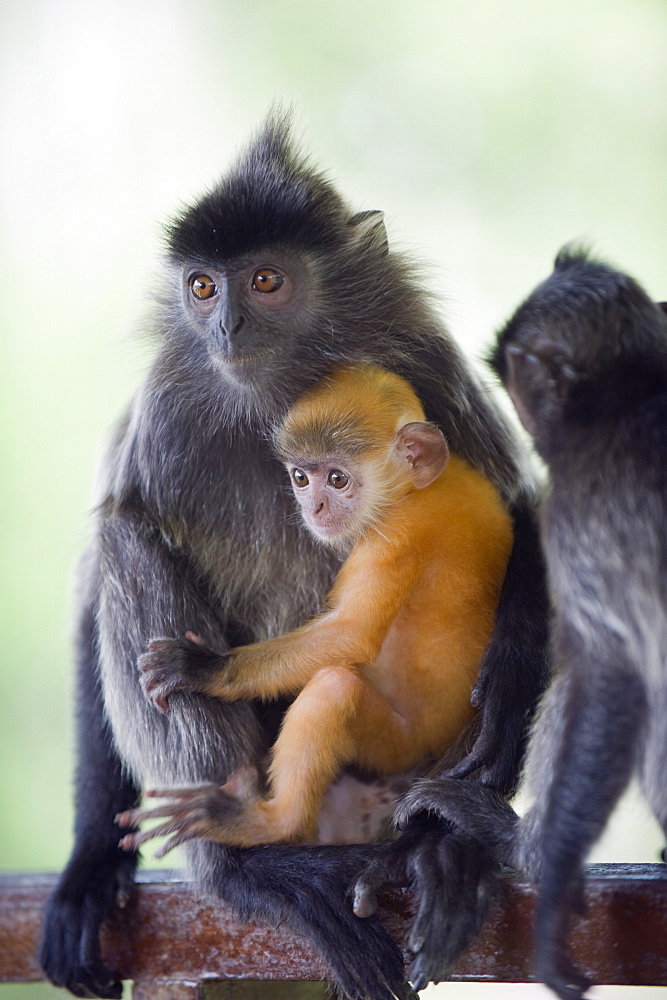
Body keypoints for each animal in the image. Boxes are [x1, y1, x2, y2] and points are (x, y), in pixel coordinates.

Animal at [118, 368, 512, 852]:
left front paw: (202, 668)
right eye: (301, 478)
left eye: (338, 479)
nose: (313, 506)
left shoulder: (397, 534)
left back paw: (273, 823)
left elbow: (350, 634)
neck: (420, 489)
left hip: (396, 746)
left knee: (334, 688)